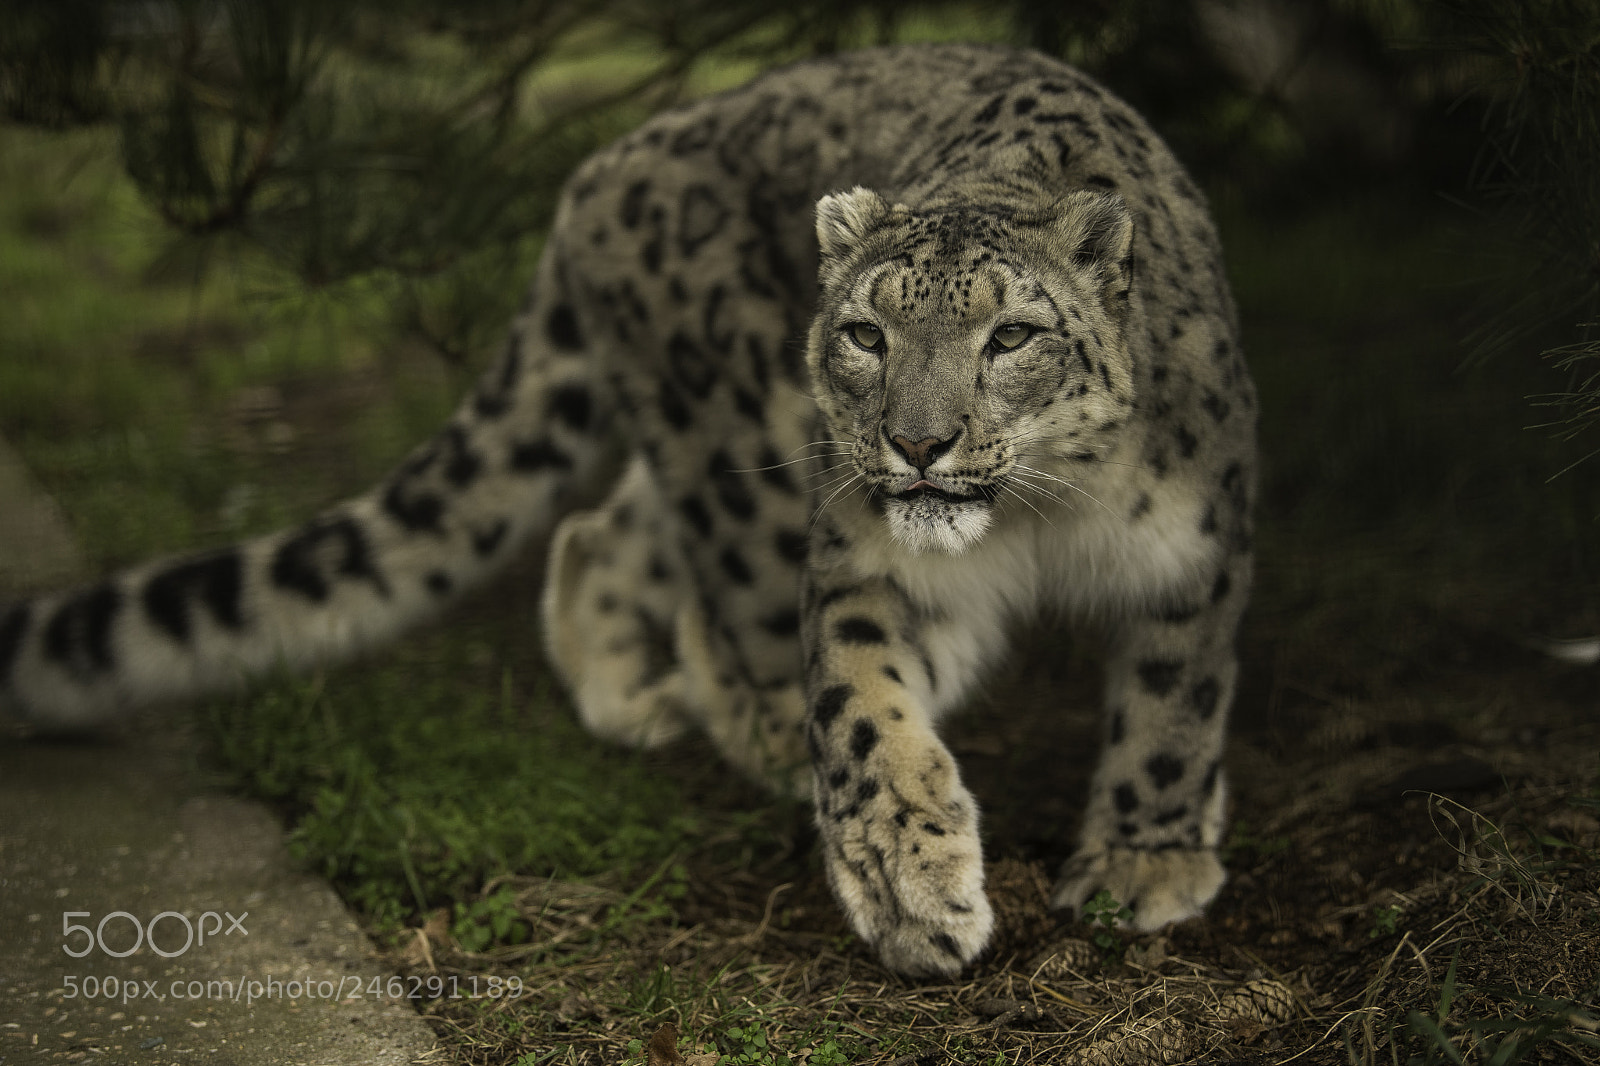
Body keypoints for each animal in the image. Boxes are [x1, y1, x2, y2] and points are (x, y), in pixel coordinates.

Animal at [0, 42, 1255, 978]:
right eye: (866, 332)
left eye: (1012, 335)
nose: (915, 441)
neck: (1041, 522)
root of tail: (594, 171)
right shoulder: (866, 559)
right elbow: (862, 706)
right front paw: (910, 883)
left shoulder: (1193, 548)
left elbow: (1173, 705)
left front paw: (1143, 863)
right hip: (740, 450)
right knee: (721, 611)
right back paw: (740, 730)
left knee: (600, 533)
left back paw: (628, 694)